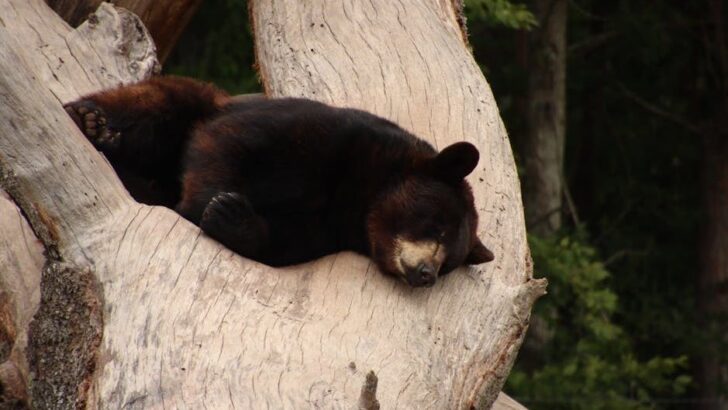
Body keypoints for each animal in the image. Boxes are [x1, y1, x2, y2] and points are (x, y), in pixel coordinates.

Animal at [64, 76, 494, 287]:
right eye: (437, 226)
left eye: (450, 264)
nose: (426, 276)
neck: (357, 195)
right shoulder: (324, 132)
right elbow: (229, 140)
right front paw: (204, 205)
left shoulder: (327, 228)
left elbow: (283, 242)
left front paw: (232, 216)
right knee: (159, 103)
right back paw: (93, 121)